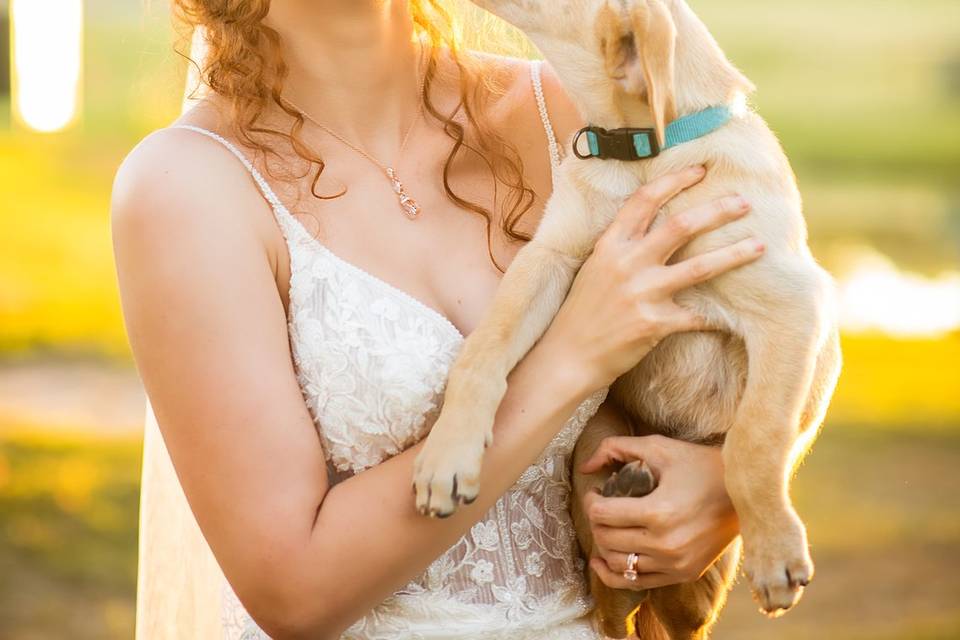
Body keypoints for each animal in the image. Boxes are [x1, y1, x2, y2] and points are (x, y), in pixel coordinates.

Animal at [412, 2, 840, 636]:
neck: (642, 155)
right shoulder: (550, 259)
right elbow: (482, 352)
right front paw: (448, 454)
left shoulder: (789, 302)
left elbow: (755, 439)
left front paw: (777, 554)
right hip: (593, 446)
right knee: (613, 597)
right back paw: (628, 495)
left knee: (683, 609)